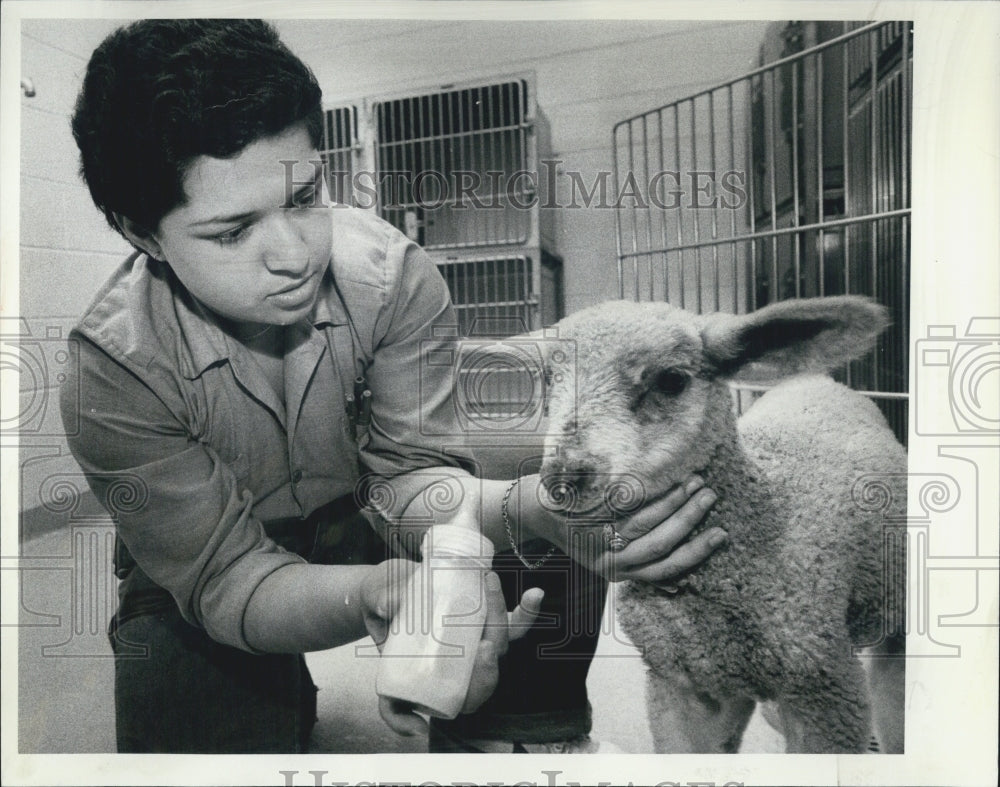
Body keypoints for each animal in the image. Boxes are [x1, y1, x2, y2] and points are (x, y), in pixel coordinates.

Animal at [540, 298, 908, 756]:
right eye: (547, 379)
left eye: (672, 380)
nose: (563, 478)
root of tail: (821, 380)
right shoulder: (684, 685)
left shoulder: (826, 688)